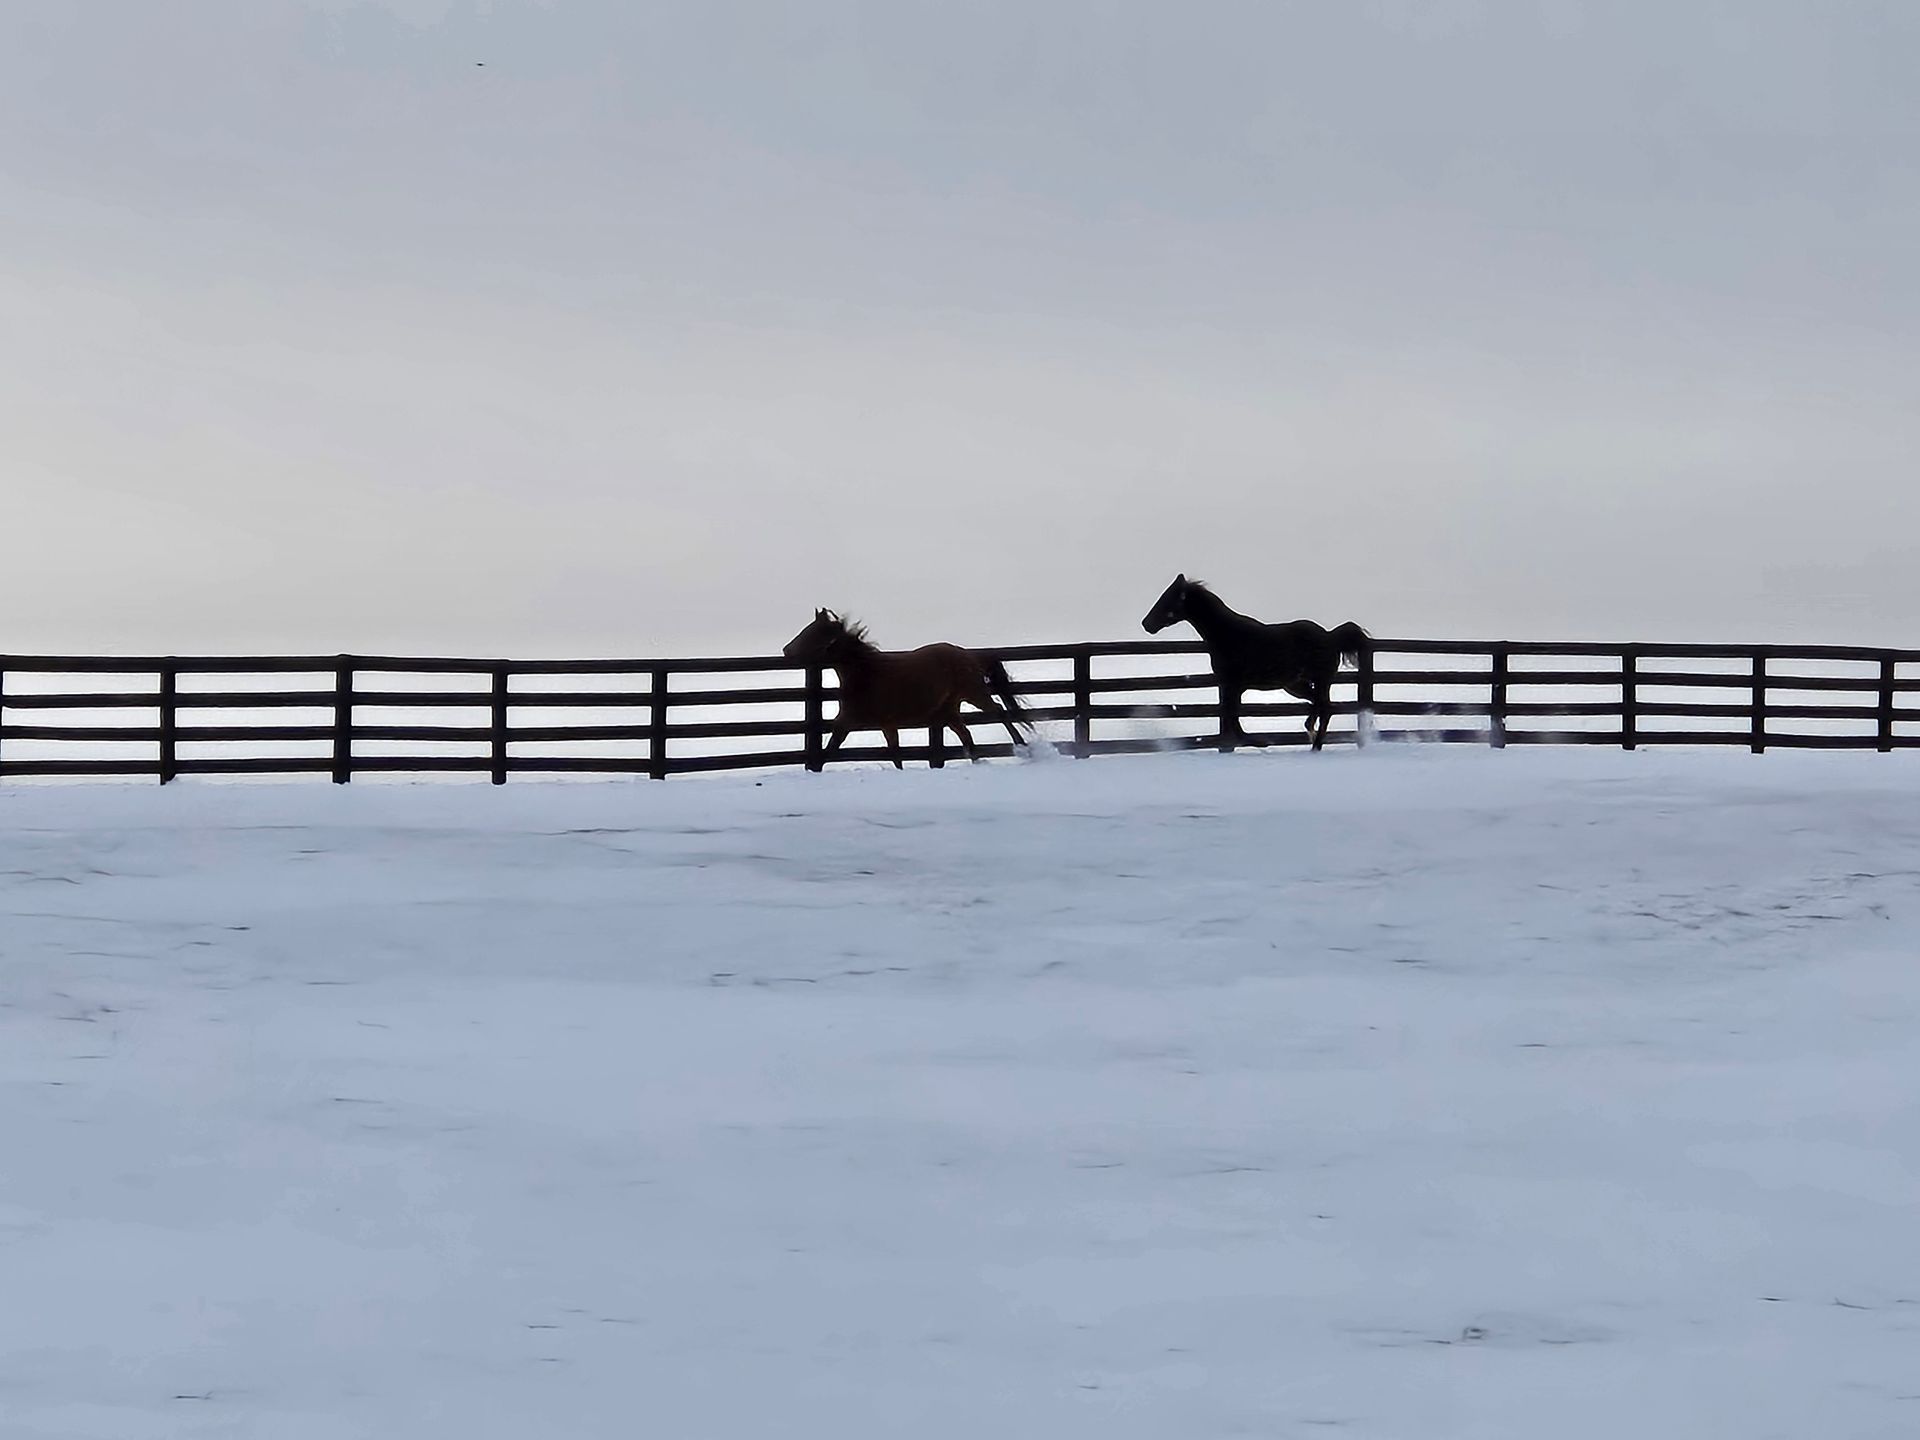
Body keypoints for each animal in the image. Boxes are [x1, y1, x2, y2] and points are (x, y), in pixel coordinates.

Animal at [782, 609, 1031, 769]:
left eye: (812, 631)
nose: (786, 650)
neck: (866, 674)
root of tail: (967, 655)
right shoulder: (871, 724)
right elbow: (893, 755)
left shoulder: (863, 722)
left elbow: (832, 751)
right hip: (949, 709)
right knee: (966, 735)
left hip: (974, 693)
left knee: (999, 712)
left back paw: (1025, 750)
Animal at [1140, 575, 1370, 751]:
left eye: (1167, 599)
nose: (1146, 624)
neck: (1228, 635)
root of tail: (1331, 636)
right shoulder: (1231, 686)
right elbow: (1231, 717)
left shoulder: (1233, 685)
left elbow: (1233, 718)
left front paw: (1260, 742)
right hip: (1296, 685)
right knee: (1320, 705)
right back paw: (1311, 735)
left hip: (1320, 680)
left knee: (1326, 708)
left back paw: (1313, 741)